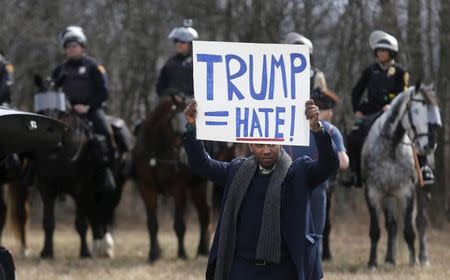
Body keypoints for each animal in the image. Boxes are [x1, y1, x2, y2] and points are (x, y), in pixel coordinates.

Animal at [133, 95, 210, 262]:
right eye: (172, 121)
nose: (184, 158)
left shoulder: (178, 189)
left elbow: (179, 224)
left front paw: (182, 253)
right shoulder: (147, 188)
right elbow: (152, 223)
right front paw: (153, 254)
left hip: (198, 187)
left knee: (204, 213)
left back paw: (202, 249)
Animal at [362, 83, 440, 270]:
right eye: (417, 111)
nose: (429, 146)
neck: (391, 146)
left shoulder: (407, 192)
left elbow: (409, 230)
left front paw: (413, 262)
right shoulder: (373, 192)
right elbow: (375, 230)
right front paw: (372, 263)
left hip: (423, 190)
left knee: (421, 222)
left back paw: (423, 257)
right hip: (389, 195)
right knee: (392, 225)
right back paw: (390, 259)